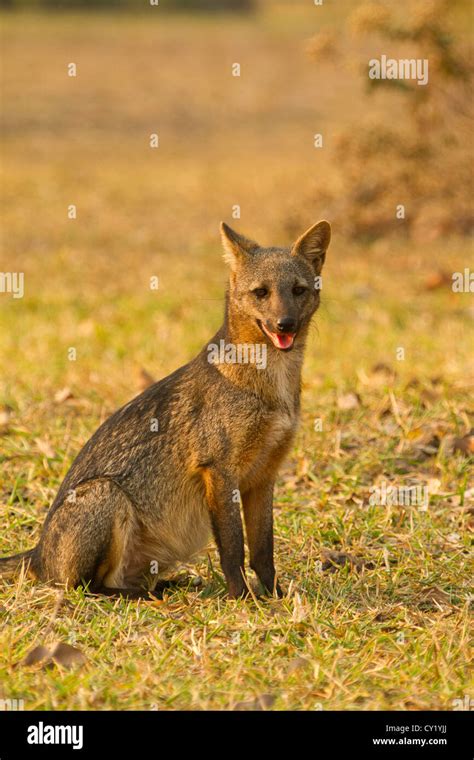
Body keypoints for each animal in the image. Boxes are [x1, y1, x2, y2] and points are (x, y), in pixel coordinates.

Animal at [0, 220, 332, 600]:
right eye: (261, 292)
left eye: (298, 290)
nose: (285, 324)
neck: (272, 388)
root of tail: (37, 553)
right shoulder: (218, 470)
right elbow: (232, 548)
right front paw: (242, 598)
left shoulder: (264, 475)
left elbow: (263, 550)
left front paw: (275, 596)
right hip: (107, 495)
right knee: (88, 587)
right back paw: (149, 596)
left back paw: (169, 585)